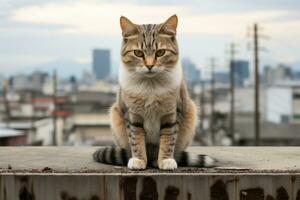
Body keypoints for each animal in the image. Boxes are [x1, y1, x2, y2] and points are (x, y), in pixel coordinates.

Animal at [92, 14, 214, 170]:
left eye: (160, 52)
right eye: (138, 53)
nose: (149, 66)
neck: (150, 85)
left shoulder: (172, 113)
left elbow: (168, 139)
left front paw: (165, 160)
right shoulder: (132, 115)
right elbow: (136, 139)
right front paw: (138, 160)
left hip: (190, 112)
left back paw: (157, 160)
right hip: (115, 114)